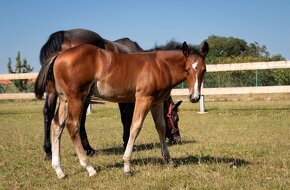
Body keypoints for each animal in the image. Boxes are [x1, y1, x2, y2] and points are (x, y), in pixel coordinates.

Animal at [34, 29, 181, 160]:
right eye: (176, 118)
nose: (177, 138)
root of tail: (63, 35)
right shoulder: (130, 99)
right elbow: (127, 118)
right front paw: (126, 142)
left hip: (53, 91)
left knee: (48, 113)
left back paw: (48, 151)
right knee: (79, 120)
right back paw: (88, 148)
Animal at [40, 40, 207, 178]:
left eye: (204, 70)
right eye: (187, 69)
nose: (195, 97)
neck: (159, 65)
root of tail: (60, 55)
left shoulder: (157, 102)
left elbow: (160, 127)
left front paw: (169, 159)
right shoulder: (143, 98)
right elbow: (135, 127)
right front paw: (127, 166)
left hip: (64, 99)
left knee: (57, 126)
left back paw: (59, 170)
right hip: (77, 97)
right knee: (72, 125)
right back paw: (89, 168)